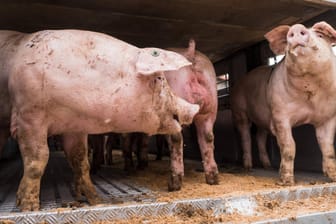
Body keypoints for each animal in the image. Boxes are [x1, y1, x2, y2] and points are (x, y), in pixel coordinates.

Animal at [4, 28, 200, 211]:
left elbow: (81, 160)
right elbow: (38, 158)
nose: (195, 109)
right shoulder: (28, 114)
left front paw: (95, 200)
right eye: (159, 79)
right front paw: (28, 207)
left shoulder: (73, 125)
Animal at [232, 21, 336, 186]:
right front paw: (286, 182)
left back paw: (267, 167)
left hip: (263, 117)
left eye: (320, 35)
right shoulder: (280, 114)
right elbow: (288, 147)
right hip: (239, 111)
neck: (309, 93)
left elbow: (328, 148)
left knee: (260, 137)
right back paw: (248, 168)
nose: (297, 27)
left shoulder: (328, 116)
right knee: (246, 137)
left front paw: (332, 178)